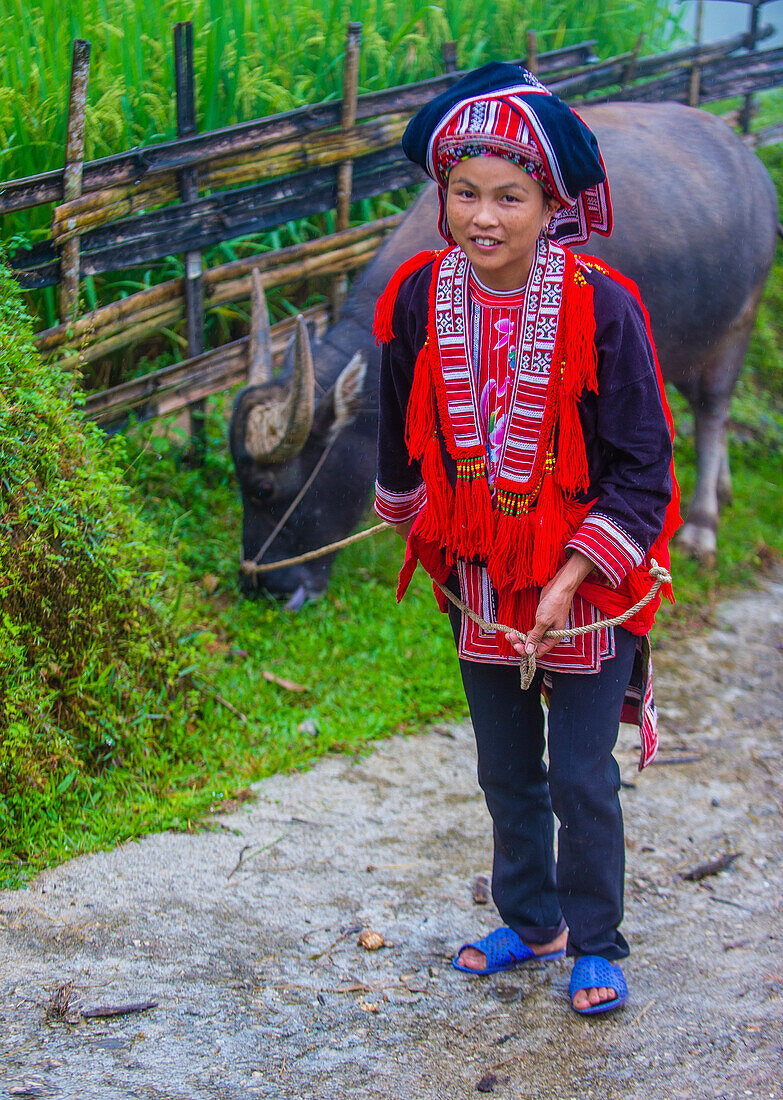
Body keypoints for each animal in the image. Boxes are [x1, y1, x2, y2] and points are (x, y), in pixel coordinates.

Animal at [230, 102, 778, 602]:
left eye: (265, 489)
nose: (262, 586)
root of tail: (750, 165)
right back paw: (723, 487)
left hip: (739, 322)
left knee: (713, 409)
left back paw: (703, 525)